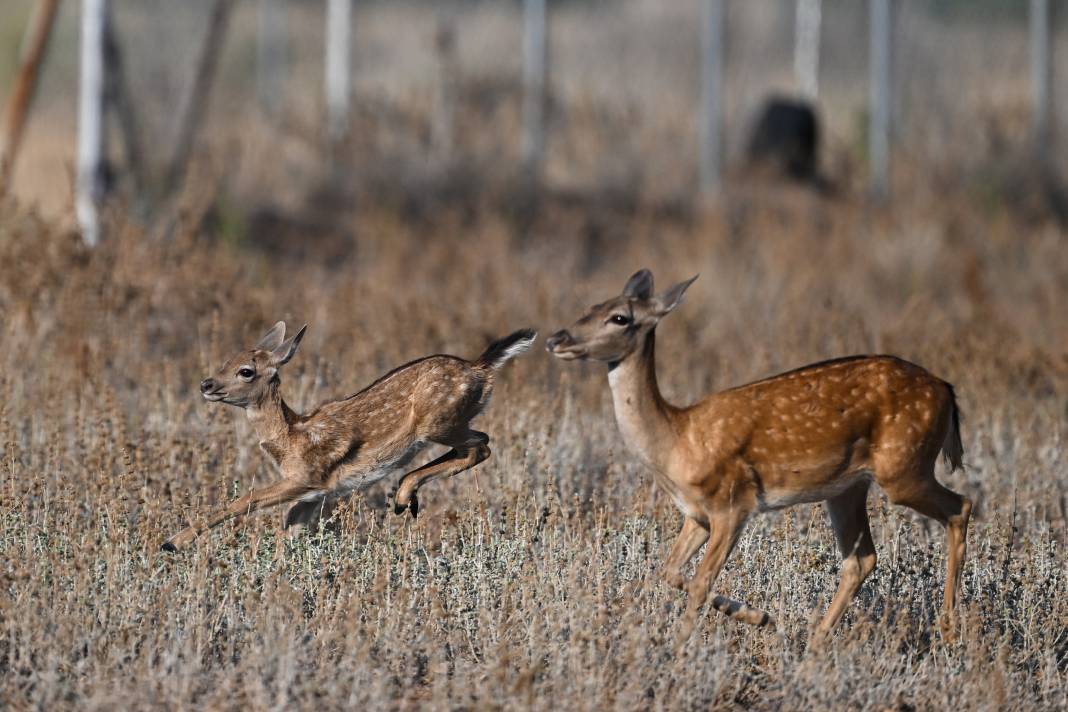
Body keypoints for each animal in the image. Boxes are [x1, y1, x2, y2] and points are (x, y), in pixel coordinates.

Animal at [160, 322, 534, 550]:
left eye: (246, 371)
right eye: (226, 360)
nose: (206, 384)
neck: (291, 438)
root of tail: (481, 368)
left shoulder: (308, 478)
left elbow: (243, 500)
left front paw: (173, 543)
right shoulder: (314, 496)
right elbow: (289, 531)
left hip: (439, 422)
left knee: (481, 446)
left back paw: (404, 496)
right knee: (476, 446)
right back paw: (405, 498)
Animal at [546, 271, 974, 640]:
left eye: (619, 317)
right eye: (591, 306)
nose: (556, 338)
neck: (677, 440)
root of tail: (947, 391)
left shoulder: (733, 503)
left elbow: (700, 582)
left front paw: (680, 649)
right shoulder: (696, 514)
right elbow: (668, 570)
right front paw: (761, 616)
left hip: (903, 466)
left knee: (961, 506)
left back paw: (949, 627)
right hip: (848, 487)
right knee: (862, 559)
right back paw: (815, 643)